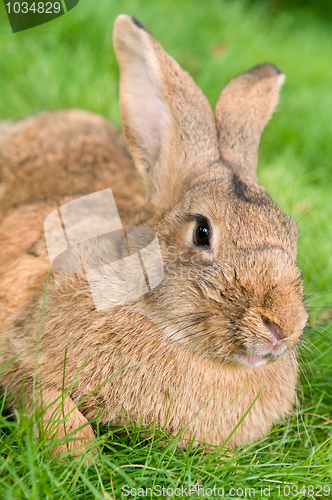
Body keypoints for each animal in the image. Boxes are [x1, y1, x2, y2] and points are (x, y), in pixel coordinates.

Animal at [0, 14, 308, 458]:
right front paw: (82, 459)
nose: (283, 327)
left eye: (292, 234)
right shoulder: (19, 353)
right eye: (202, 232)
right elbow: (52, 405)